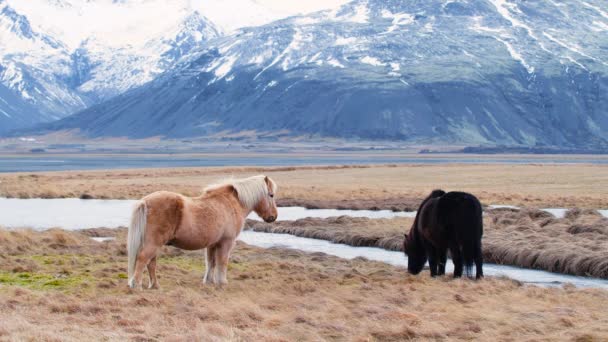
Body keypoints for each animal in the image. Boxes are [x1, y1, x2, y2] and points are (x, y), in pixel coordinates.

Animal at [131, 175, 280, 290]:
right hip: (154, 243)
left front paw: (209, 282)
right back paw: (137, 286)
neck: (231, 203)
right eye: (271, 195)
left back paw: (155, 286)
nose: (273, 217)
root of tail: (145, 202)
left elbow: (211, 263)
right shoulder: (226, 243)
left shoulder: (212, 244)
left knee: (151, 263)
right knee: (143, 259)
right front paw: (222, 283)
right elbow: (222, 262)